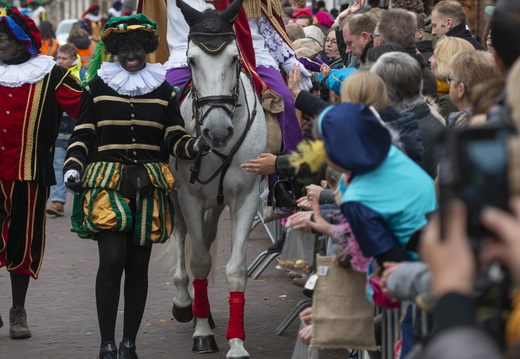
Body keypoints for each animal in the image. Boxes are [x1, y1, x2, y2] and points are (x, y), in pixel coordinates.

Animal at [171, 1, 266, 358]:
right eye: (191, 60)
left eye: (235, 59)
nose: (217, 131)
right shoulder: (189, 197)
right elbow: (199, 261)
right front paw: (201, 334)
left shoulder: (247, 198)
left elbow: (235, 270)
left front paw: (236, 343)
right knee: (184, 237)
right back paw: (185, 304)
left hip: (216, 204)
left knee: (208, 236)